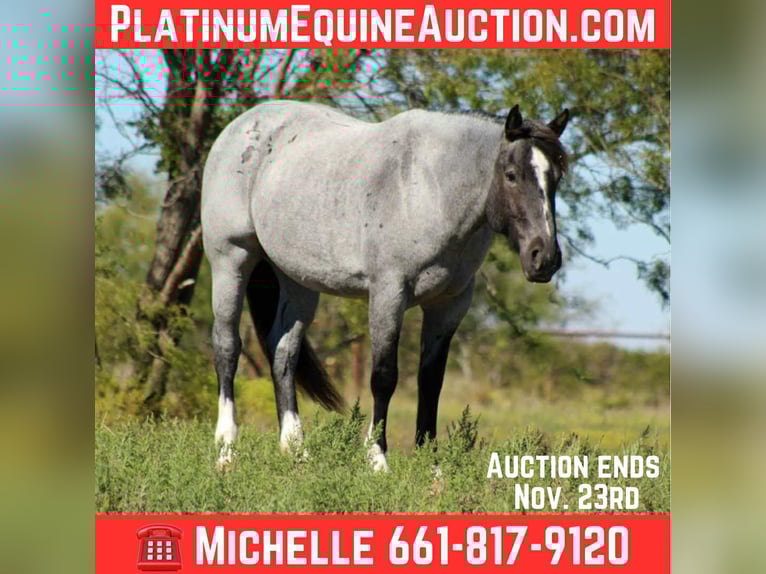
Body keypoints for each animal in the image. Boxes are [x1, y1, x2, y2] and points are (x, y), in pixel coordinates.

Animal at [201, 100, 569, 471]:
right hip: (231, 260)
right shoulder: (388, 293)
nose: (544, 258)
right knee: (227, 346)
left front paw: (431, 464)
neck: (429, 187)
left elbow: (430, 380)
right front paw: (377, 458)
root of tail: (241, 124)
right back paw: (226, 450)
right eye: (511, 175)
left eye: (556, 177)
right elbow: (384, 376)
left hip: (298, 282)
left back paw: (296, 450)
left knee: (283, 351)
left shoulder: (449, 305)